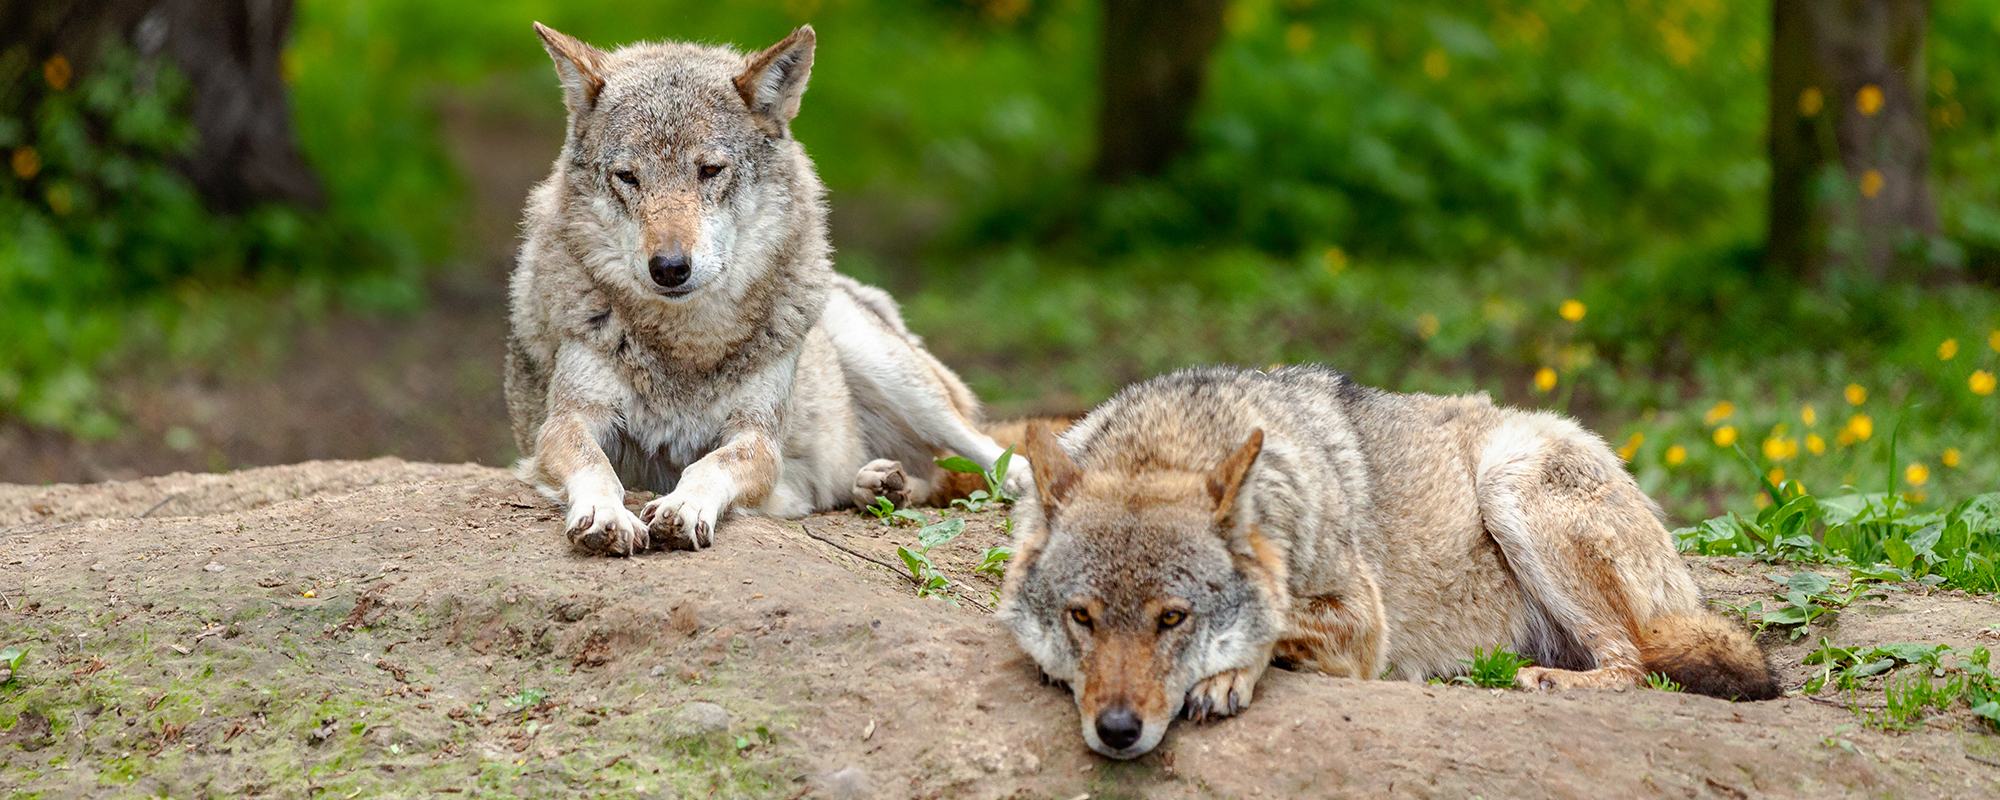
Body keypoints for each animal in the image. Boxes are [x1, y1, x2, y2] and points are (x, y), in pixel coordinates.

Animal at [500, 21, 1032, 552]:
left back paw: (1017, 480)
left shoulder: (758, 436)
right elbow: (595, 464)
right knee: (930, 479)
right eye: (628, 177)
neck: (687, 343)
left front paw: (683, 506)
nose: (669, 267)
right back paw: (879, 484)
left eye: (709, 170)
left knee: (983, 448)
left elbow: (712, 463)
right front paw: (604, 513)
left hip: (890, 369)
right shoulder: (567, 421)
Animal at [1000, 366, 1784, 760]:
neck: (1170, 442)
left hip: (1508, 482)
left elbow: (1275, 626)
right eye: (1081, 618)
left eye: (1173, 619)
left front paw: (1227, 675)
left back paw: (1549, 681)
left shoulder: (1362, 624)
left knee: (1632, 663)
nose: (1118, 731)